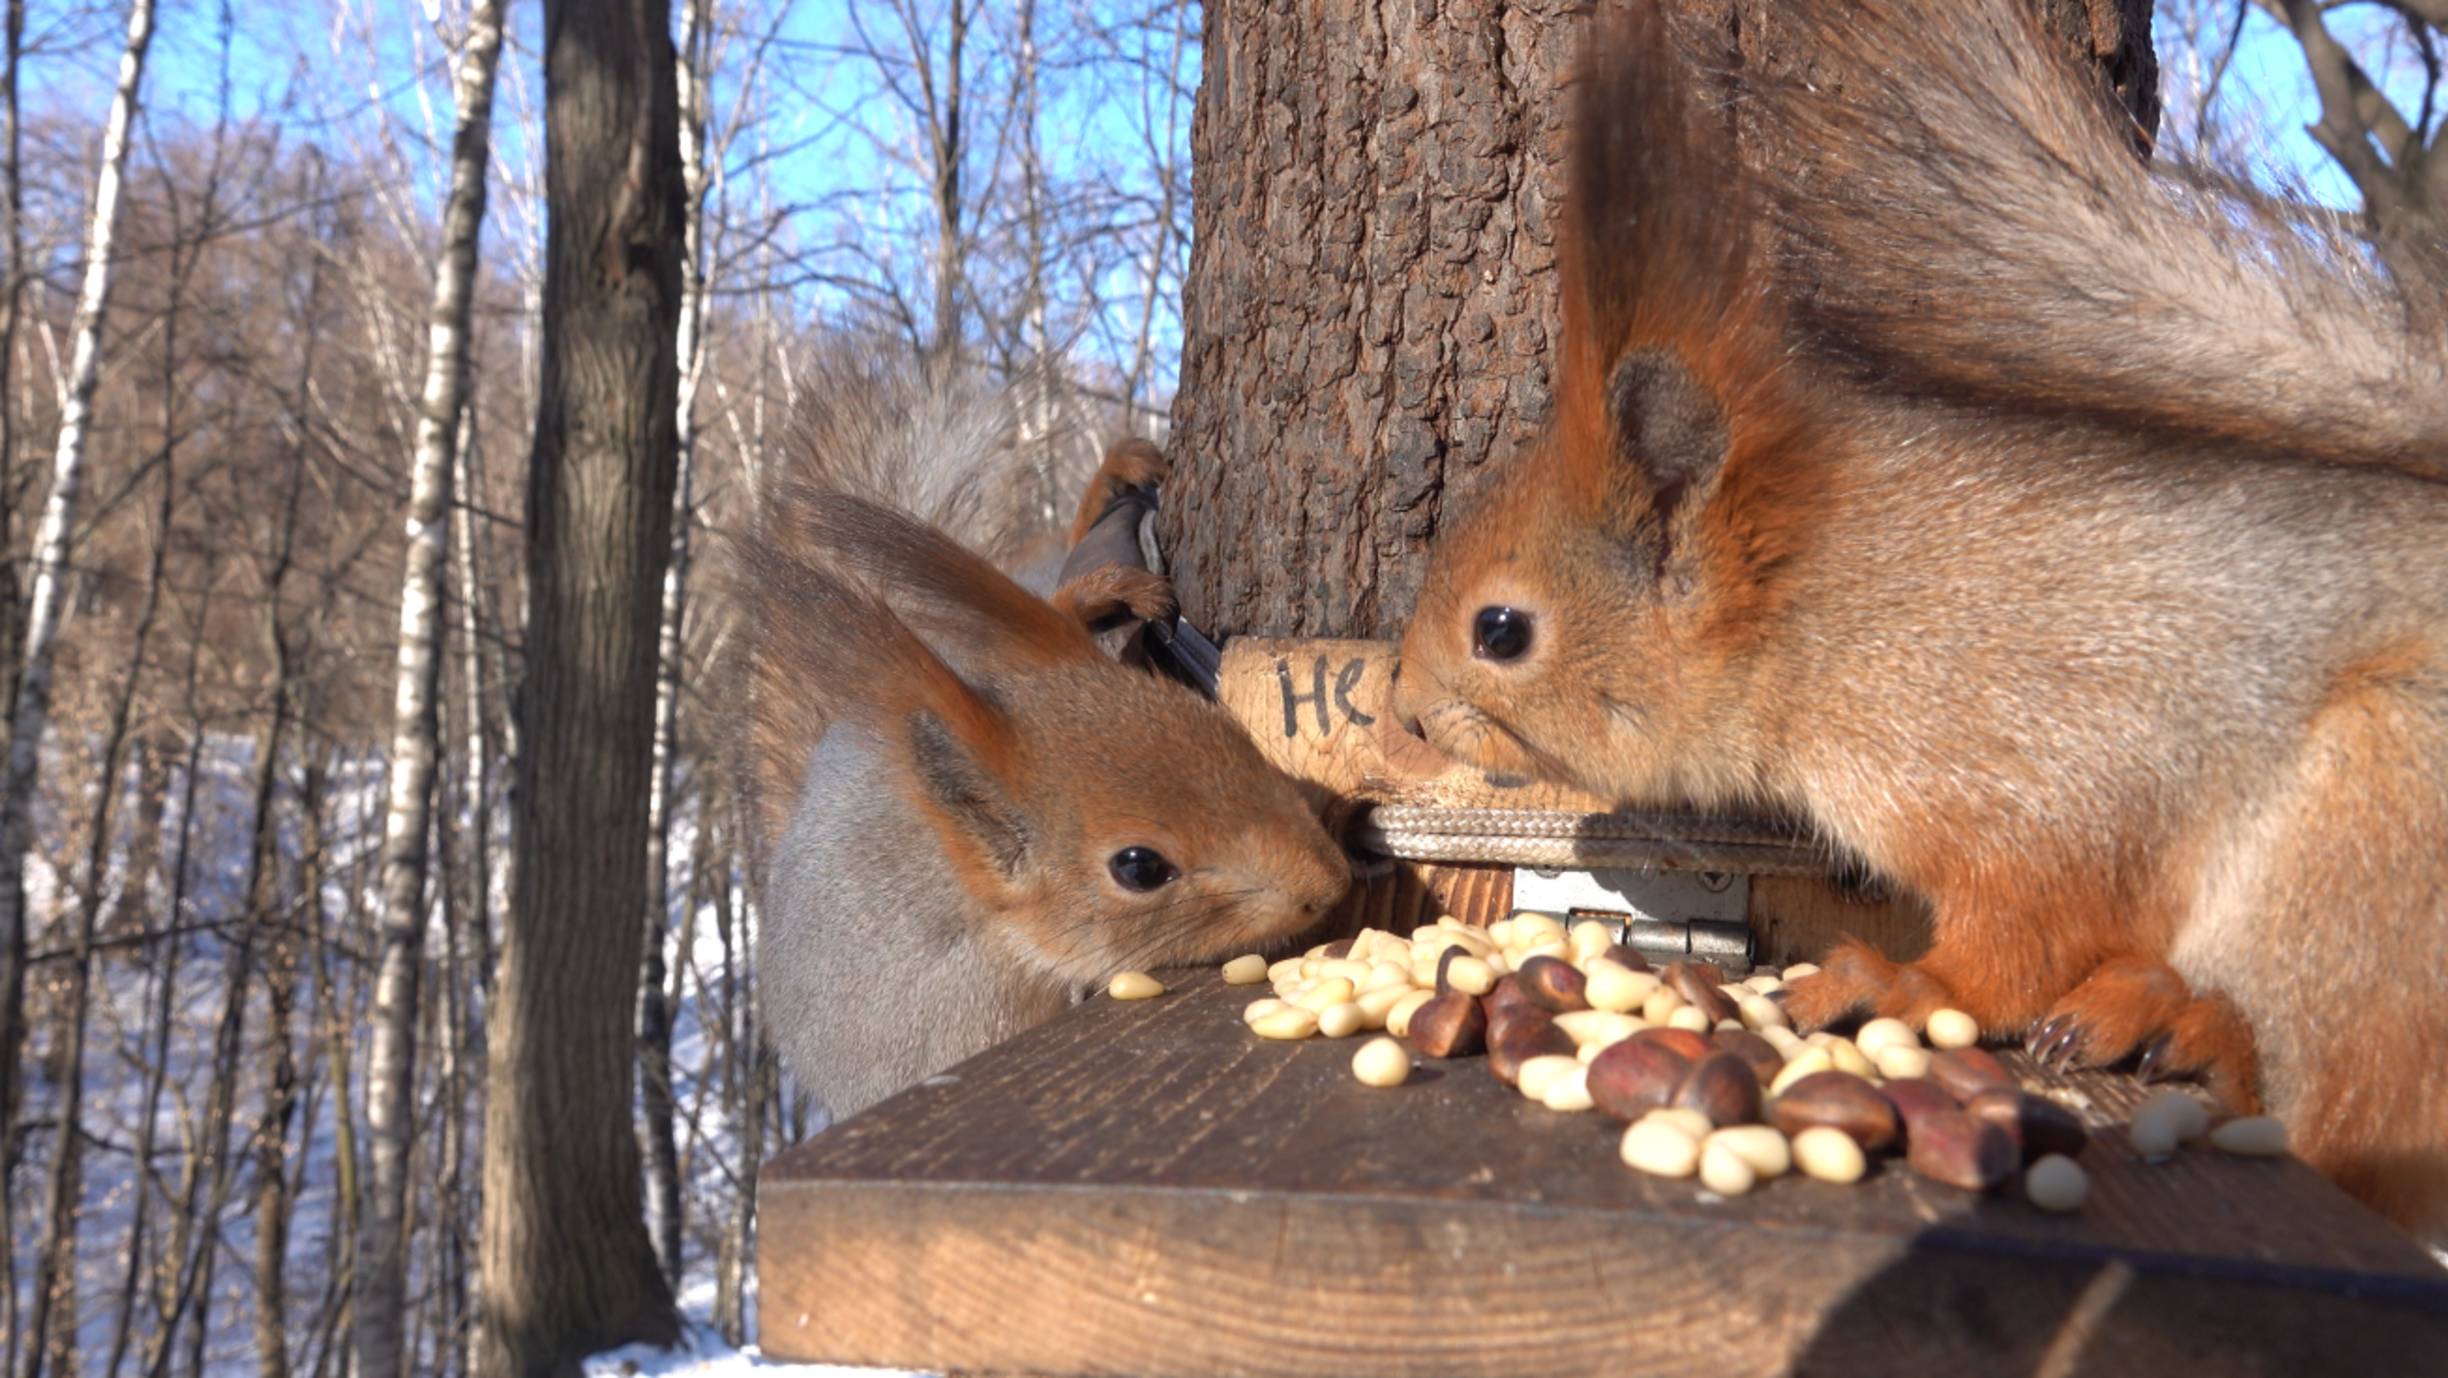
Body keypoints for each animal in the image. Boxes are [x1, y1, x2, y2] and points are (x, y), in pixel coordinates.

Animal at [1400, 0, 2448, 1238]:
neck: (1828, 610)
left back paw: (2190, 1031)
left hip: (2375, 830)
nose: (1405, 713)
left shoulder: (2048, 766)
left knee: (2338, 1113)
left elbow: (2023, 930)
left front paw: (1906, 984)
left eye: (1501, 631)